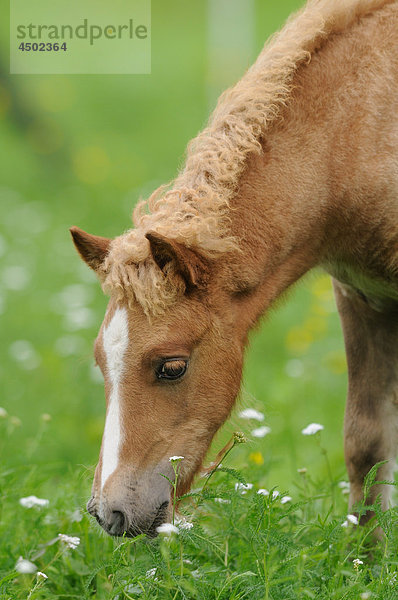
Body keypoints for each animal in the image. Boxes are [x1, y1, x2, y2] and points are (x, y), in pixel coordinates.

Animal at [70, 0, 398, 536]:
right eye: (101, 362)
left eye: (172, 366)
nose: (109, 513)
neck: (362, 127)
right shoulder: (363, 297)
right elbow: (366, 448)